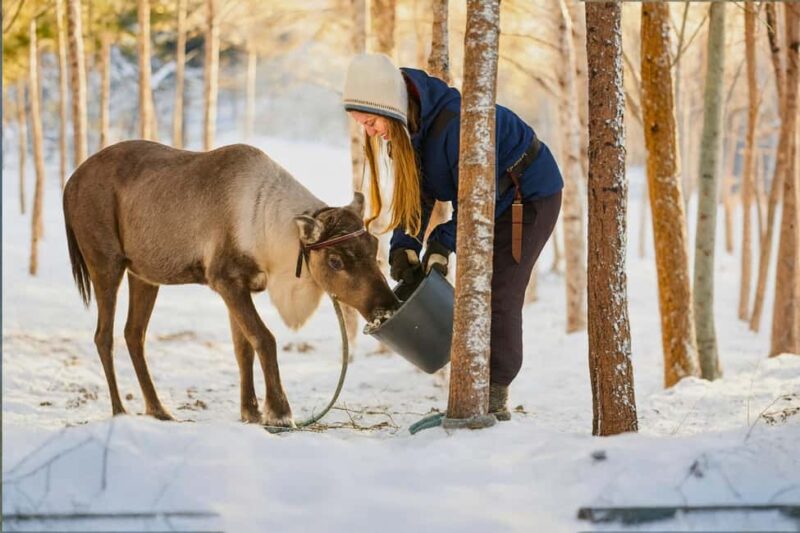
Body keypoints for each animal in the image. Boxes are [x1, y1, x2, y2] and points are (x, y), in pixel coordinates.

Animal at [63, 140, 399, 428]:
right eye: (335, 261)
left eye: (373, 246)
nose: (387, 305)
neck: (273, 235)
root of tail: (69, 184)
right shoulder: (225, 279)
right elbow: (264, 338)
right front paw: (279, 412)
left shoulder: (241, 285)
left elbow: (243, 347)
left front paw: (250, 411)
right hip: (106, 262)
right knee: (103, 336)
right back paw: (120, 410)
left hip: (144, 274)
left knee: (134, 334)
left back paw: (159, 410)